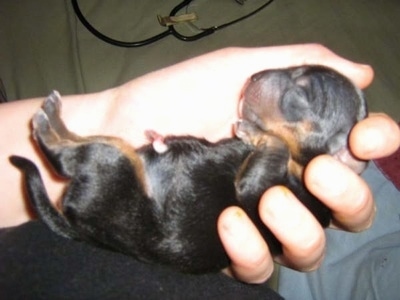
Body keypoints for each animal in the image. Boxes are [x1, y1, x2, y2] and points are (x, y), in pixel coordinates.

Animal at [9, 65, 368, 274]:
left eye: (304, 93)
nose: (252, 77)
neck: (300, 166)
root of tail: (76, 223)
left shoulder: (262, 191)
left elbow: (272, 149)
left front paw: (255, 133)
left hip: (115, 165)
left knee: (65, 157)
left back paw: (47, 122)